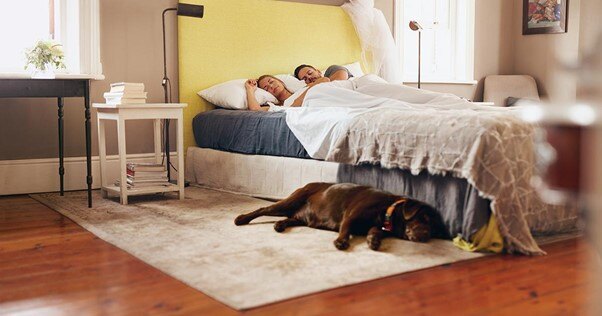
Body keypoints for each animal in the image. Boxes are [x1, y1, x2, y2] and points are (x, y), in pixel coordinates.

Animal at [234, 181, 446, 251]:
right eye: (423, 218)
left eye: (435, 229)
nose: (426, 236)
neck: (387, 210)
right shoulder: (351, 215)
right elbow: (346, 229)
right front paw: (342, 242)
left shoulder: (376, 225)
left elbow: (375, 231)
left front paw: (374, 241)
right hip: (289, 202)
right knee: (262, 210)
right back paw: (242, 219)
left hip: (300, 216)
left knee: (290, 219)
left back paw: (279, 225)